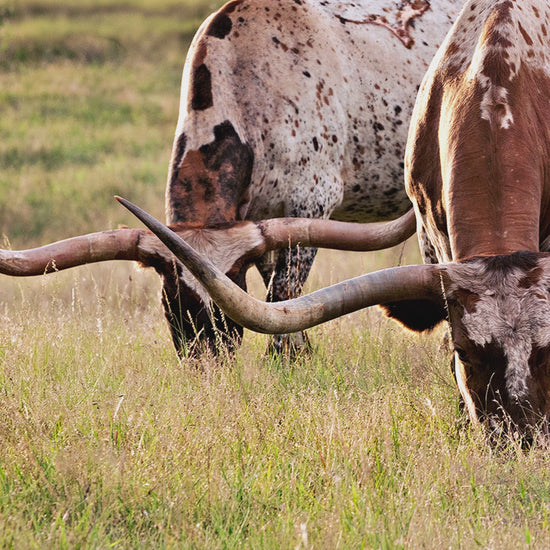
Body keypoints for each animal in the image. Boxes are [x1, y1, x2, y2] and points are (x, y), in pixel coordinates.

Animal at [0, 0, 461, 356]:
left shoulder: (311, 205)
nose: (209, 361)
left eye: (225, 298)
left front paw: (287, 359)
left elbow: (283, 294)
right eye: (176, 300)